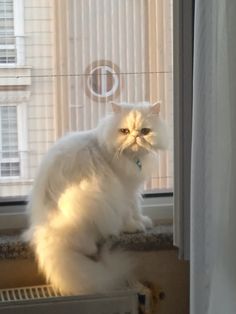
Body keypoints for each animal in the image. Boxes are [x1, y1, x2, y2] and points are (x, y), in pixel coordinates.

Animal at [24, 102, 168, 296]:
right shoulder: (124, 189)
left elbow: (137, 208)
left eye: (145, 131)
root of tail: (45, 230)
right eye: (124, 131)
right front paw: (135, 226)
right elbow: (129, 212)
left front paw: (144, 221)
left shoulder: (133, 188)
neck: (132, 160)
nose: (135, 136)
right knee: (88, 243)